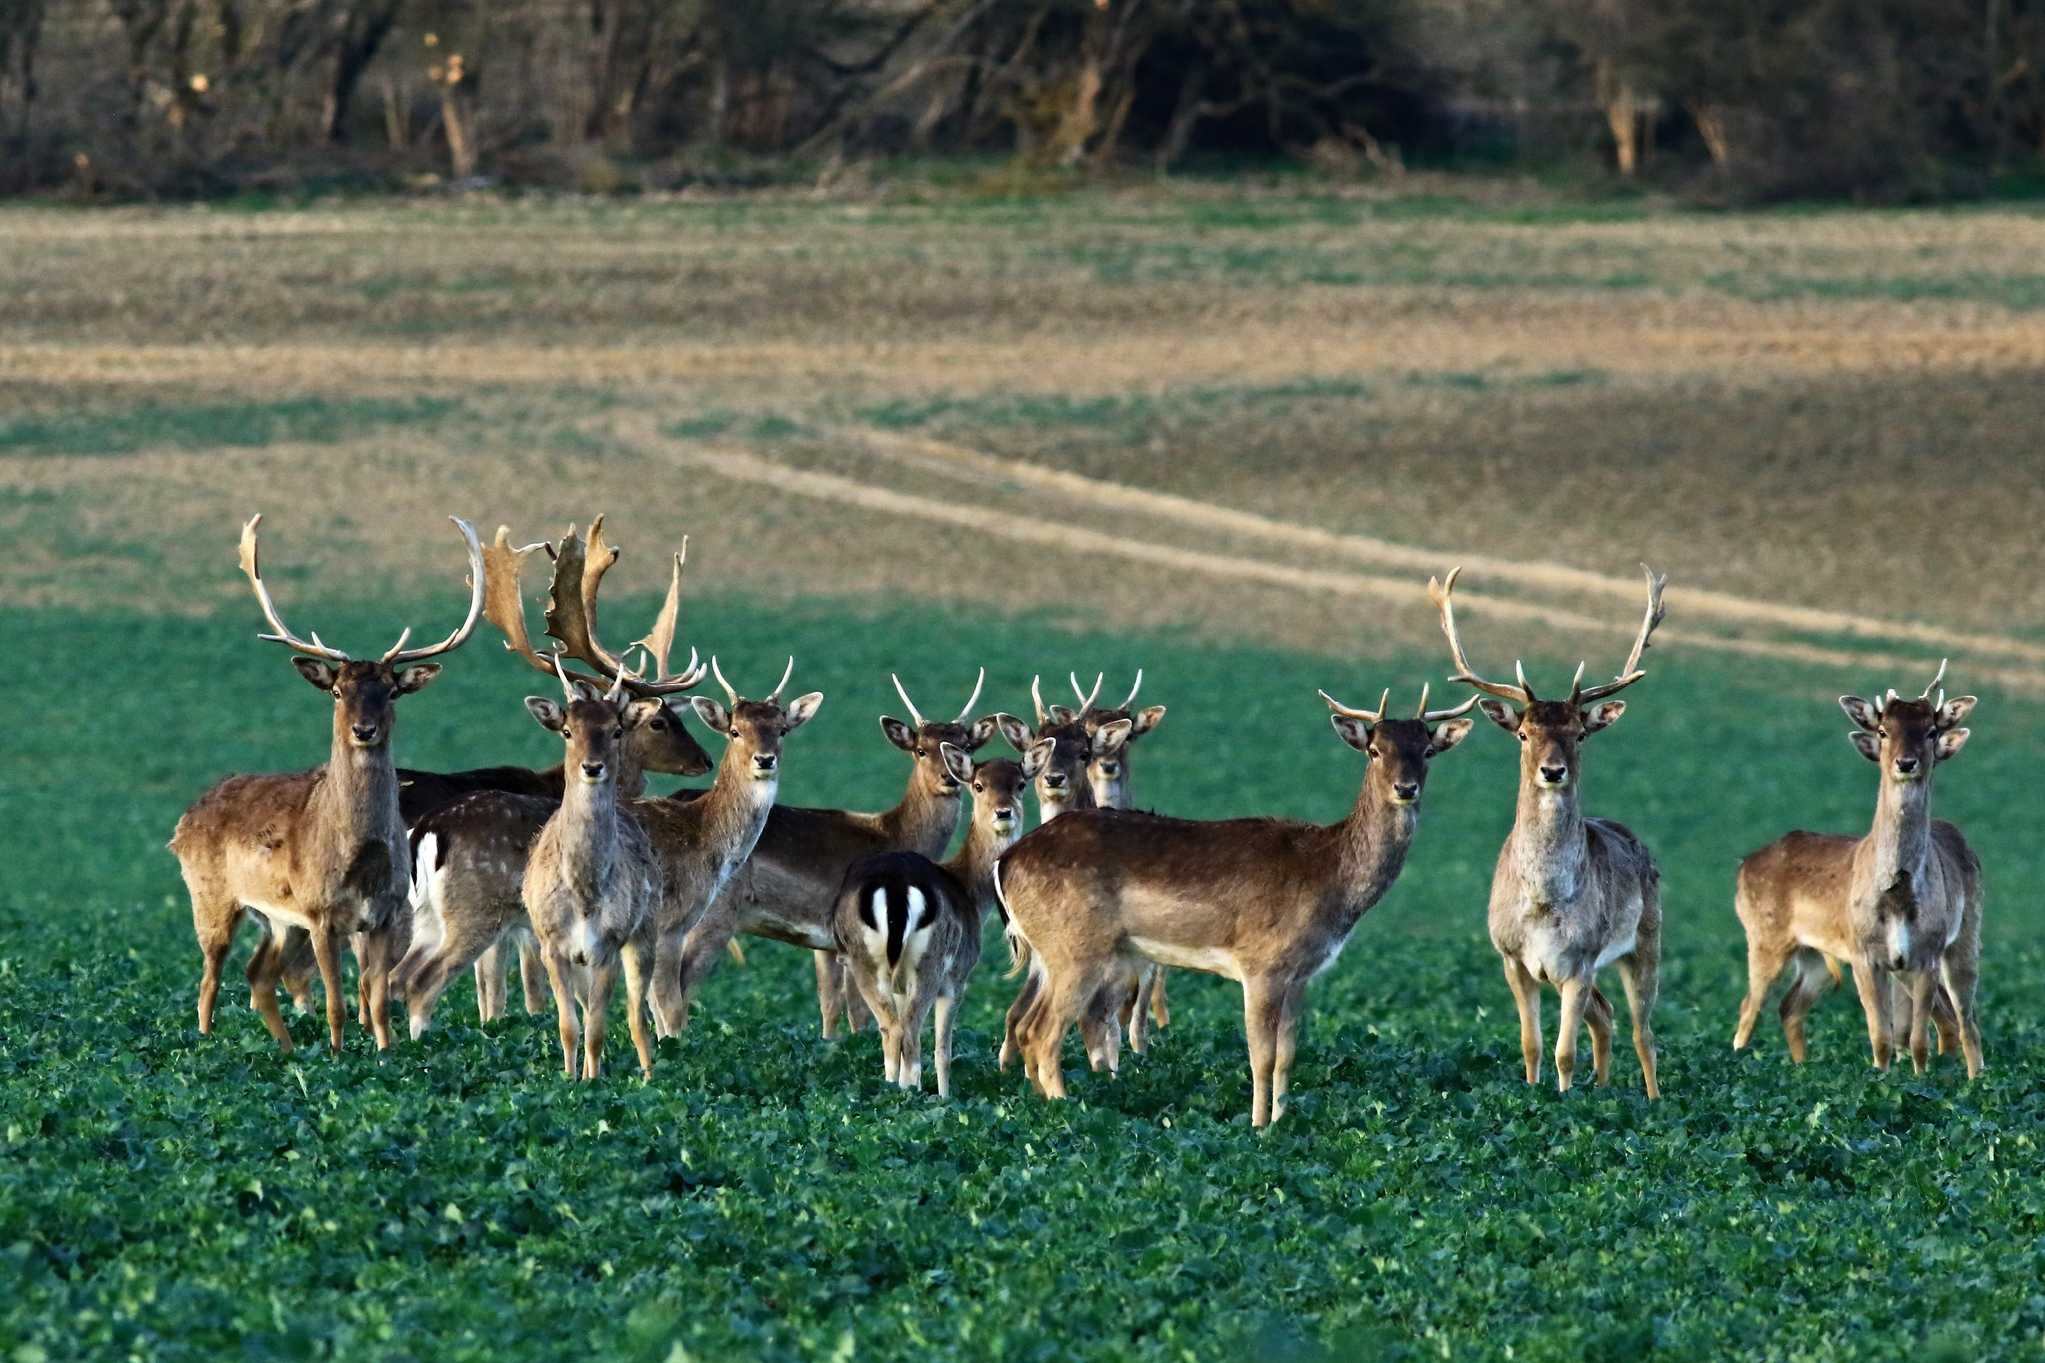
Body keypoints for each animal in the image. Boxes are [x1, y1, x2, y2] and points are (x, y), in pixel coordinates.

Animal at [169, 510, 484, 1054]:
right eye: (337, 690)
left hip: (276, 919)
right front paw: (336, 1056)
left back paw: (287, 1048)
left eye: (392, 691)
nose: (364, 729)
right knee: (209, 977)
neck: (361, 861)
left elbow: (378, 1003)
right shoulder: (319, 913)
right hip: (211, 895)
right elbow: (337, 1002)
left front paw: (384, 1054)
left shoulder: (384, 915)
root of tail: (186, 818)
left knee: (258, 974)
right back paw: (207, 1043)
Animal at [834, 739, 1055, 1103]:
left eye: (1020, 784)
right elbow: (942, 1049)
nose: (1003, 813)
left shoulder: (899, 984)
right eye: (978, 785)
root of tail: (894, 886)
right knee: (909, 1032)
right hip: (930, 962)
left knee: (891, 1029)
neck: (970, 892)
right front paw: (944, 1098)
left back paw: (892, 1093)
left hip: (861, 959)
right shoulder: (957, 977)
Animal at [989, 686, 1472, 1128]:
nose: (1405, 788)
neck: (1328, 877)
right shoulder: (1262, 963)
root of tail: (1006, 861)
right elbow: (1261, 1054)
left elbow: (1287, 1055)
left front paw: (1281, 1122)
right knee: (1044, 1031)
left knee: (1027, 1024)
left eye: (1427, 750)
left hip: (1055, 952)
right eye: (1374, 750)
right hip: (1076, 948)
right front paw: (1258, 1128)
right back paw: (1068, 1113)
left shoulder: (1301, 975)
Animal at [1431, 564, 1668, 1095]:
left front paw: (1563, 1100)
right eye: (1523, 733)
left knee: (1643, 1032)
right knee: (1606, 1015)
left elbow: (1565, 1051)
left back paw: (1652, 1099)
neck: (1542, 901)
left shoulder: (1580, 958)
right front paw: (1535, 1094)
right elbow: (1531, 1045)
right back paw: (1602, 1088)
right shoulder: (1512, 959)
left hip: (1647, 937)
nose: (1553, 771)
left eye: (1579, 734)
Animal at [1725, 662, 1979, 1078]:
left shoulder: (1924, 953)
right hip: (1764, 936)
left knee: (1964, 1019)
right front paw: (1880, 1080)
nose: (1905, 763)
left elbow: (1917, 1042)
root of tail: (1743, 864)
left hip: (1955, 938)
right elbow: (1881, 1037)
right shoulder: (1863, 952)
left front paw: (1919, 1083)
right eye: (1883, 730)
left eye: (1931, 730)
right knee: (1751, 1007)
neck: (1898, 895)